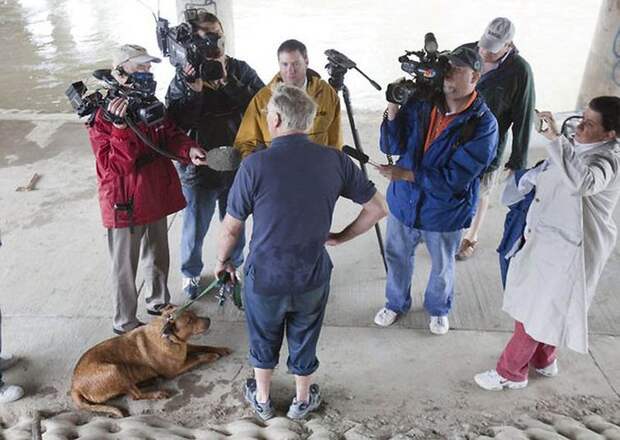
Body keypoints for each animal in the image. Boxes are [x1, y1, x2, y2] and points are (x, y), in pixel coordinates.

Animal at [71, 306, 230, 416]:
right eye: (189, 321)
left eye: (194, 314)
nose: (209, 320)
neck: (169, 338)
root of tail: (74, 386)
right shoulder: (175, 370)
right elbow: (198, 357)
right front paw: (211, 356)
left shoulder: (185, 347)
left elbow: (203, 346)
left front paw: (220, 349)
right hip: (115, 370)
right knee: (135, 395)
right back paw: (157, 393)